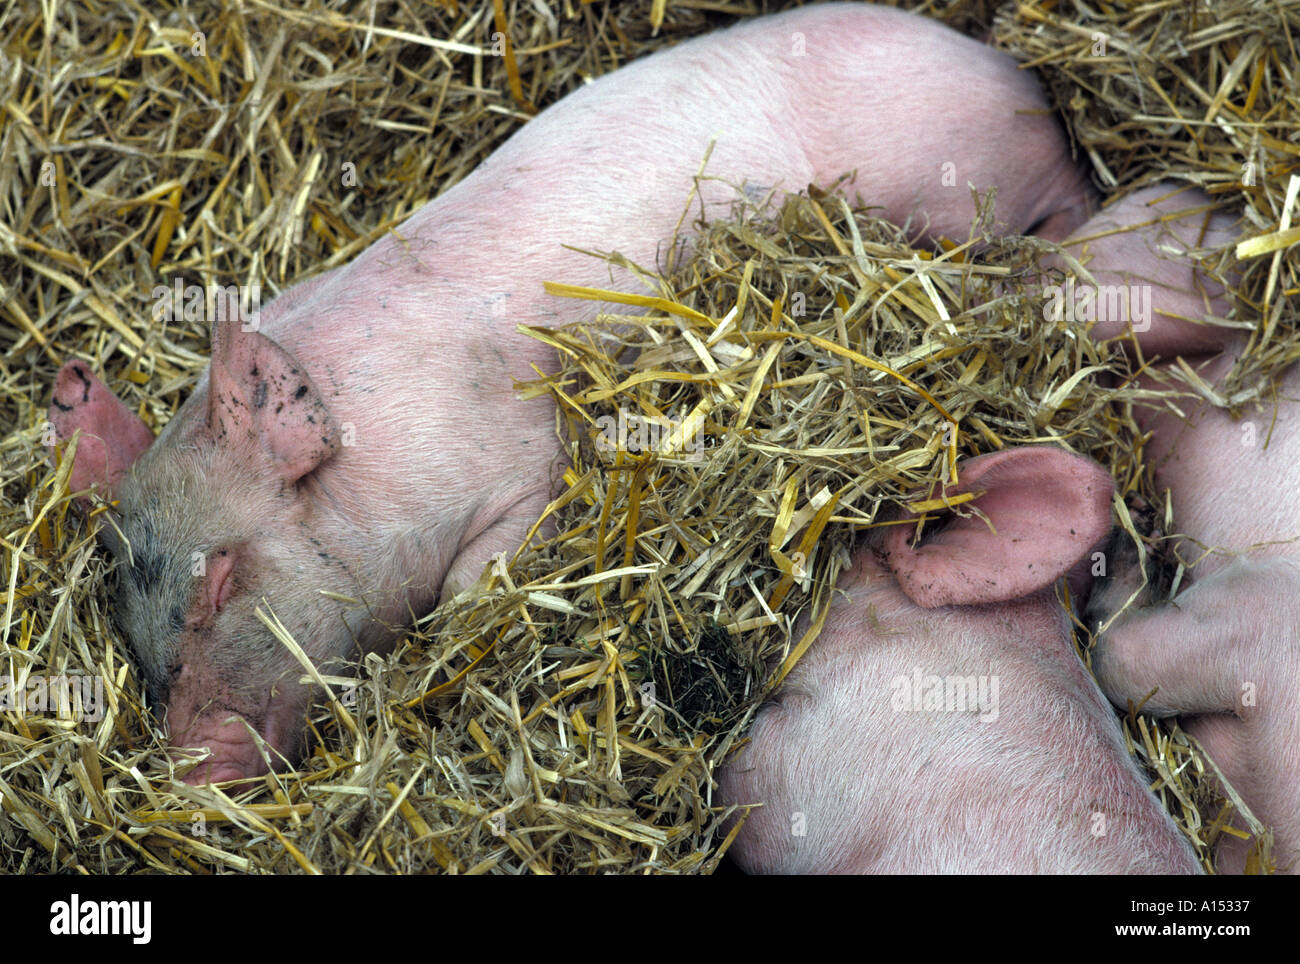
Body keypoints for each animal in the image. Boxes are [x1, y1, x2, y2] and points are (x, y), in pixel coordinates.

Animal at [48, 3, 1097, 789]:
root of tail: (1013, 72)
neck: (368, 454)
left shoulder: (520, 465)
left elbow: (478, 581)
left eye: (221, 578)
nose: (194, 770)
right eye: (133, 629)